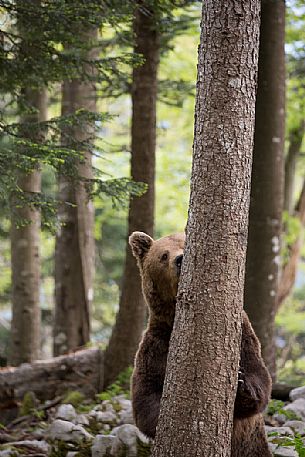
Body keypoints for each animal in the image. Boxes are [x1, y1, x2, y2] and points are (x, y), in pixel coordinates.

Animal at [129, 232, 272, 456]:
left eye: (186, 243)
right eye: (163, 255)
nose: (180, 259)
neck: (175, 318)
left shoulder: (241, 334)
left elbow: (258, 375)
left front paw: (241, 385)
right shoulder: (156, 345)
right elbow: (145, 396)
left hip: (253, 447)